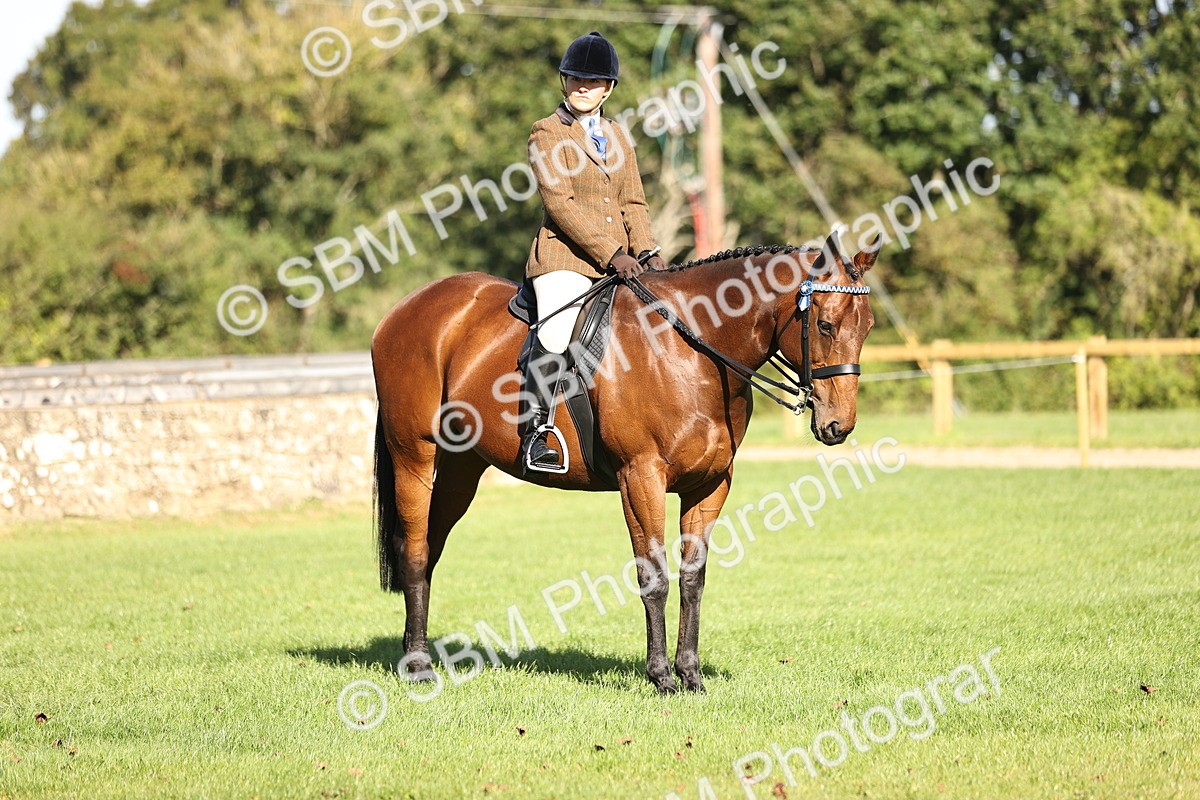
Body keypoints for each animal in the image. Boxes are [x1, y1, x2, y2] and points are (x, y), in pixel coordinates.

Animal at [371, 230, 880, 694]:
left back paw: (415, 651)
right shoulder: (641, 477)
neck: (691, 350)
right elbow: (653, 577)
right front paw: (661, 677)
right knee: (414, 549)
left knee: (431, 546)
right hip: (414, 455)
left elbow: (692, 578)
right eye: (827, 325)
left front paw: (690, 675)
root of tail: (404, 309)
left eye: (868, 327)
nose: (839, 425)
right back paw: (419, 667)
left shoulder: (710, 484)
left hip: (462, 468)